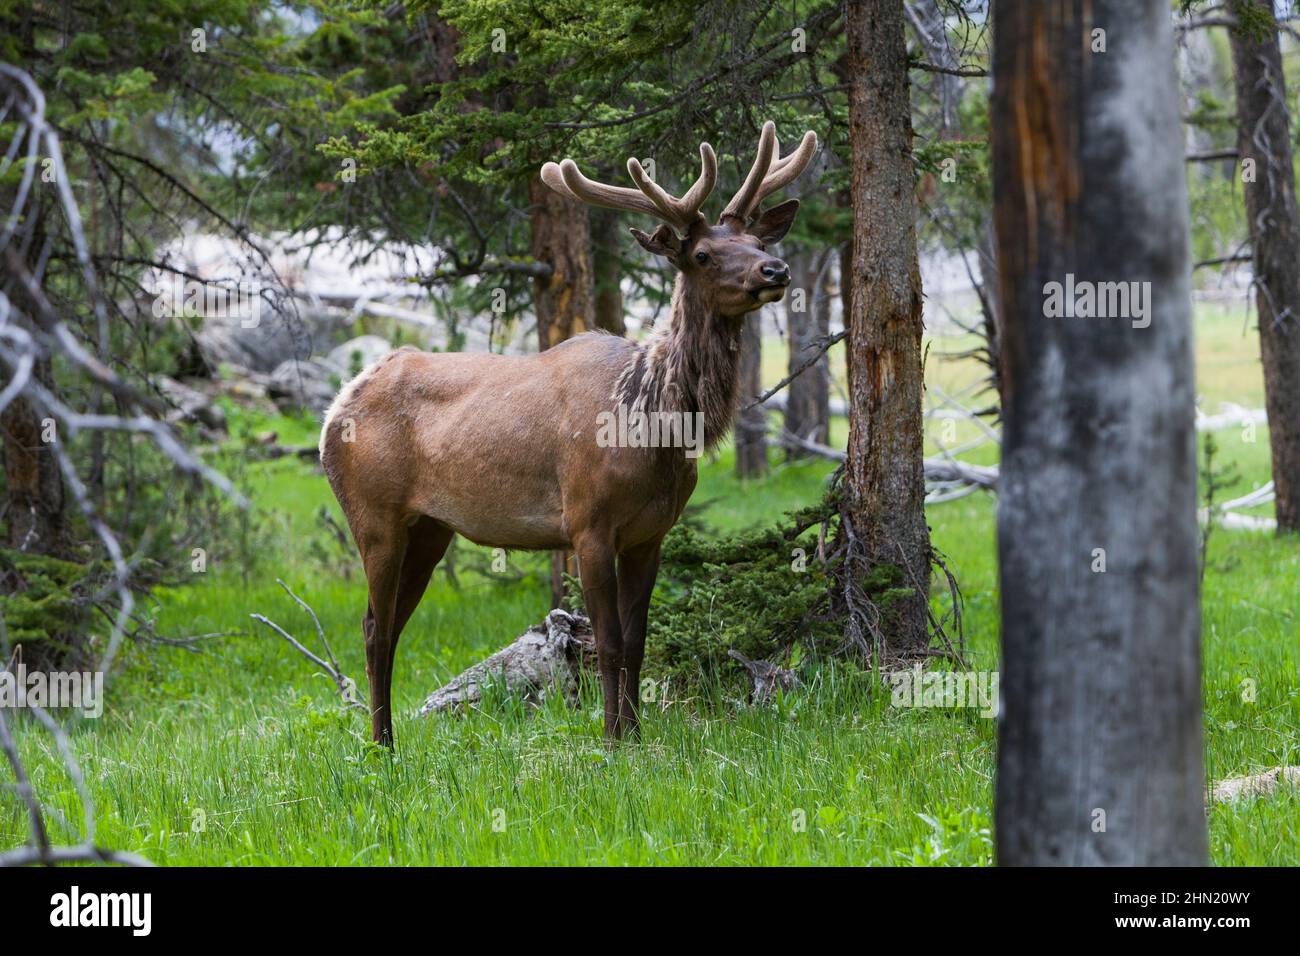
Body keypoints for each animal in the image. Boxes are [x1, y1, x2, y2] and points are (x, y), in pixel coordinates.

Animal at [318, 121, 816, 749]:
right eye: (702, 254)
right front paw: (611, 739)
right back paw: (382, 746)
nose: (775, 272)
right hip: (373, 514)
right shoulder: (587, 522)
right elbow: (606, 642)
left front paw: (636, 733)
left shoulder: (651, 533)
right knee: (373, 627)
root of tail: (336, 407)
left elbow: (637, 641)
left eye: (758, 242)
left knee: (389, 622)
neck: (651, 421)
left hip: (431, 527)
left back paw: (387, 740)